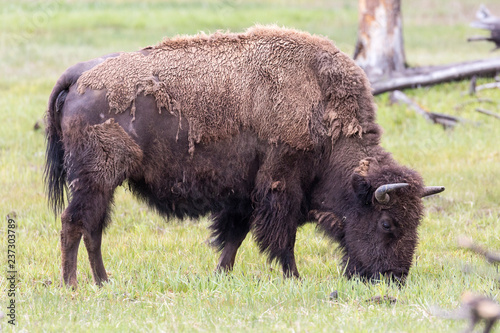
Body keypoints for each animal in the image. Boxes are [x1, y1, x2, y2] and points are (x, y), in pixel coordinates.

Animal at [46, 26, 446, 286]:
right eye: (387, 223)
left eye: (416, 222)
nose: (394, 278)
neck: (321, 109)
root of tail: (80, 75)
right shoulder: (280, 186)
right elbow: (282, 238)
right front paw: (294, 278)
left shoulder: (243, 195)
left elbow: (233, 237)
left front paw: (221, 275)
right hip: (95, 178)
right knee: (74, 223)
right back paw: (73, 284)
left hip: (103, 185)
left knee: (93, 228)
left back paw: (103, 281)